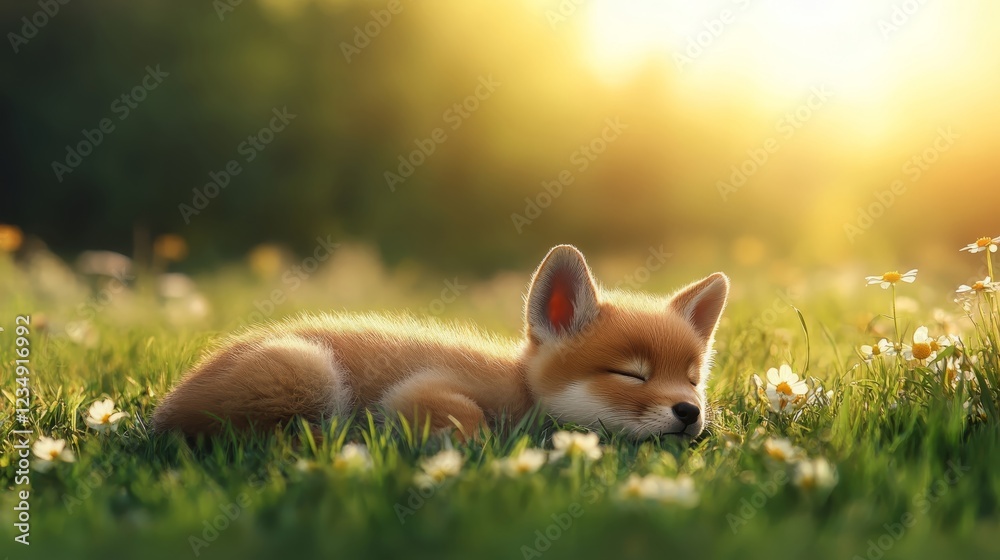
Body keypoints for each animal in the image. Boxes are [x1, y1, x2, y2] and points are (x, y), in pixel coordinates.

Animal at [151, 245, 730, 439]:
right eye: (631, 374)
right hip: (307, 371)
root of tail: (162, 410)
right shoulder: (417, 391)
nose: (689, 412)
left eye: (693, 381)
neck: (522, 392)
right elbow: (466, 420)